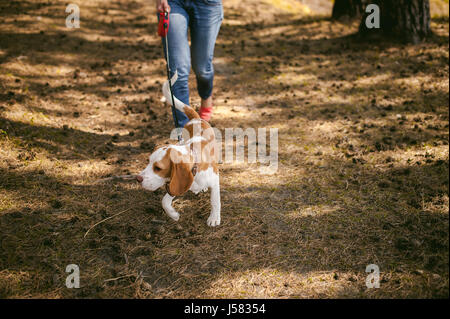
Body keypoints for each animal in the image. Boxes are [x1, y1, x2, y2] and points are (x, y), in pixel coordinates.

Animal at [137, 72, 221, 228]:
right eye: (148, 162)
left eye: (158, 168)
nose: (137, 179)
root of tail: (195, 119)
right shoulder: (177, 183)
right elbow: (164, 201)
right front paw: (173, 215)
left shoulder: (214, 180)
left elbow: (215, 201)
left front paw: (214, 218)